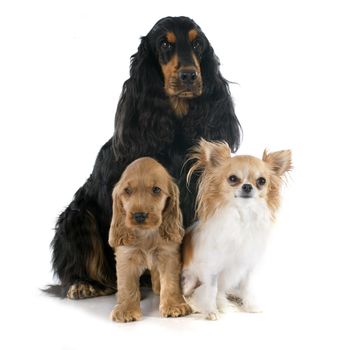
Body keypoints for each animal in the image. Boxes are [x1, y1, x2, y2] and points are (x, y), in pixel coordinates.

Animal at [108, 157, 191, 322]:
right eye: (127, 190)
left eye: (156, 189)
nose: (139, 215)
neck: (146, 234)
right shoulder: (126, 255)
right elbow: (126, 284)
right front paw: (126, 309)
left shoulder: (168, 255)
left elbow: (170, 281)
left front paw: (173, 306)